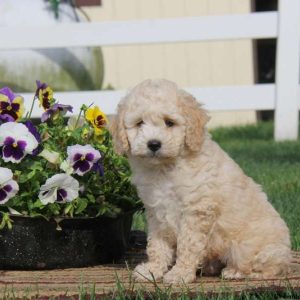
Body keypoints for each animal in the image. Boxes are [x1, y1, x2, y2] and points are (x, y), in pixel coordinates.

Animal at [109, 78, 290, 282]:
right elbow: (156, 244)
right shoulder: (156, 211)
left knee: (270, 267)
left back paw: (234, 271)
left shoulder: (196, 210)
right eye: (140, 123)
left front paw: (179, 274)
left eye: (169, 122)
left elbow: (187, 246)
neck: (164, 168)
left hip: (252, 248)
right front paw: (153, 270)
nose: (154, 144)